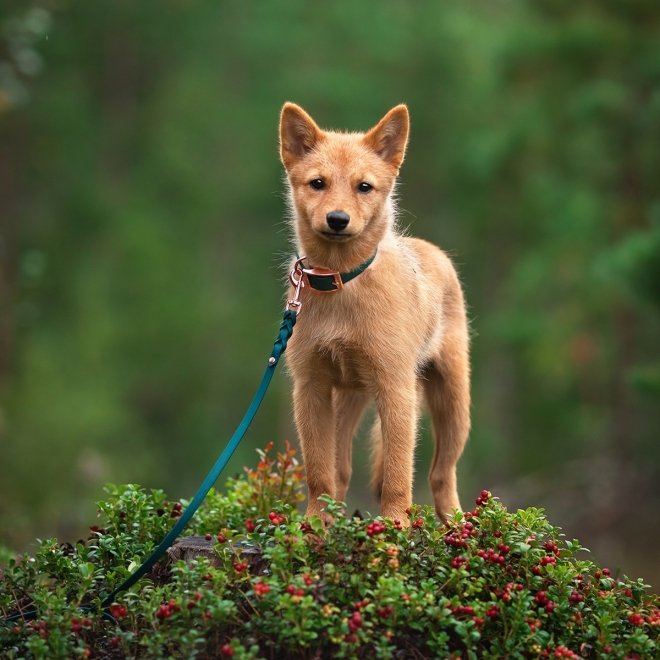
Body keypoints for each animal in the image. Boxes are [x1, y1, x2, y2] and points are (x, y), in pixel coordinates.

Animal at [278, 103, 470, 524]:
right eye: (317, 183)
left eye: (364, 187)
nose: (337, 219)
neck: (343, 285)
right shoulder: (311, 388)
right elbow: (319, 472)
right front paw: (314, 523)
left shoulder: (396, 388)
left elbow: (398, 473)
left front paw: (395, 525)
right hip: (346, 402)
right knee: (341, 471)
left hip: (451, 403)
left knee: (441, 474)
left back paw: (458, 523)